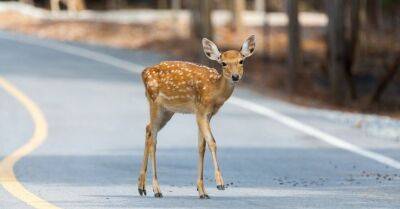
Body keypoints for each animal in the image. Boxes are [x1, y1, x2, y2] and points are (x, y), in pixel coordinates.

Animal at [138, 35, 256, 198]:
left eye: (241, 61)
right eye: (223, 63)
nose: (235, 76)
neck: (214, 92)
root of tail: (144, 72)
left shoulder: (208, 114)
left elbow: (201, 146)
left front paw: (202, 191)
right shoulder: (200, 111)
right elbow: (212, 142)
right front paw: (220, 184)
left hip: (167, 110)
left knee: (148, 129)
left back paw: (141, 187)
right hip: (154, 101)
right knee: (153, 140)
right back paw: (156, 189)